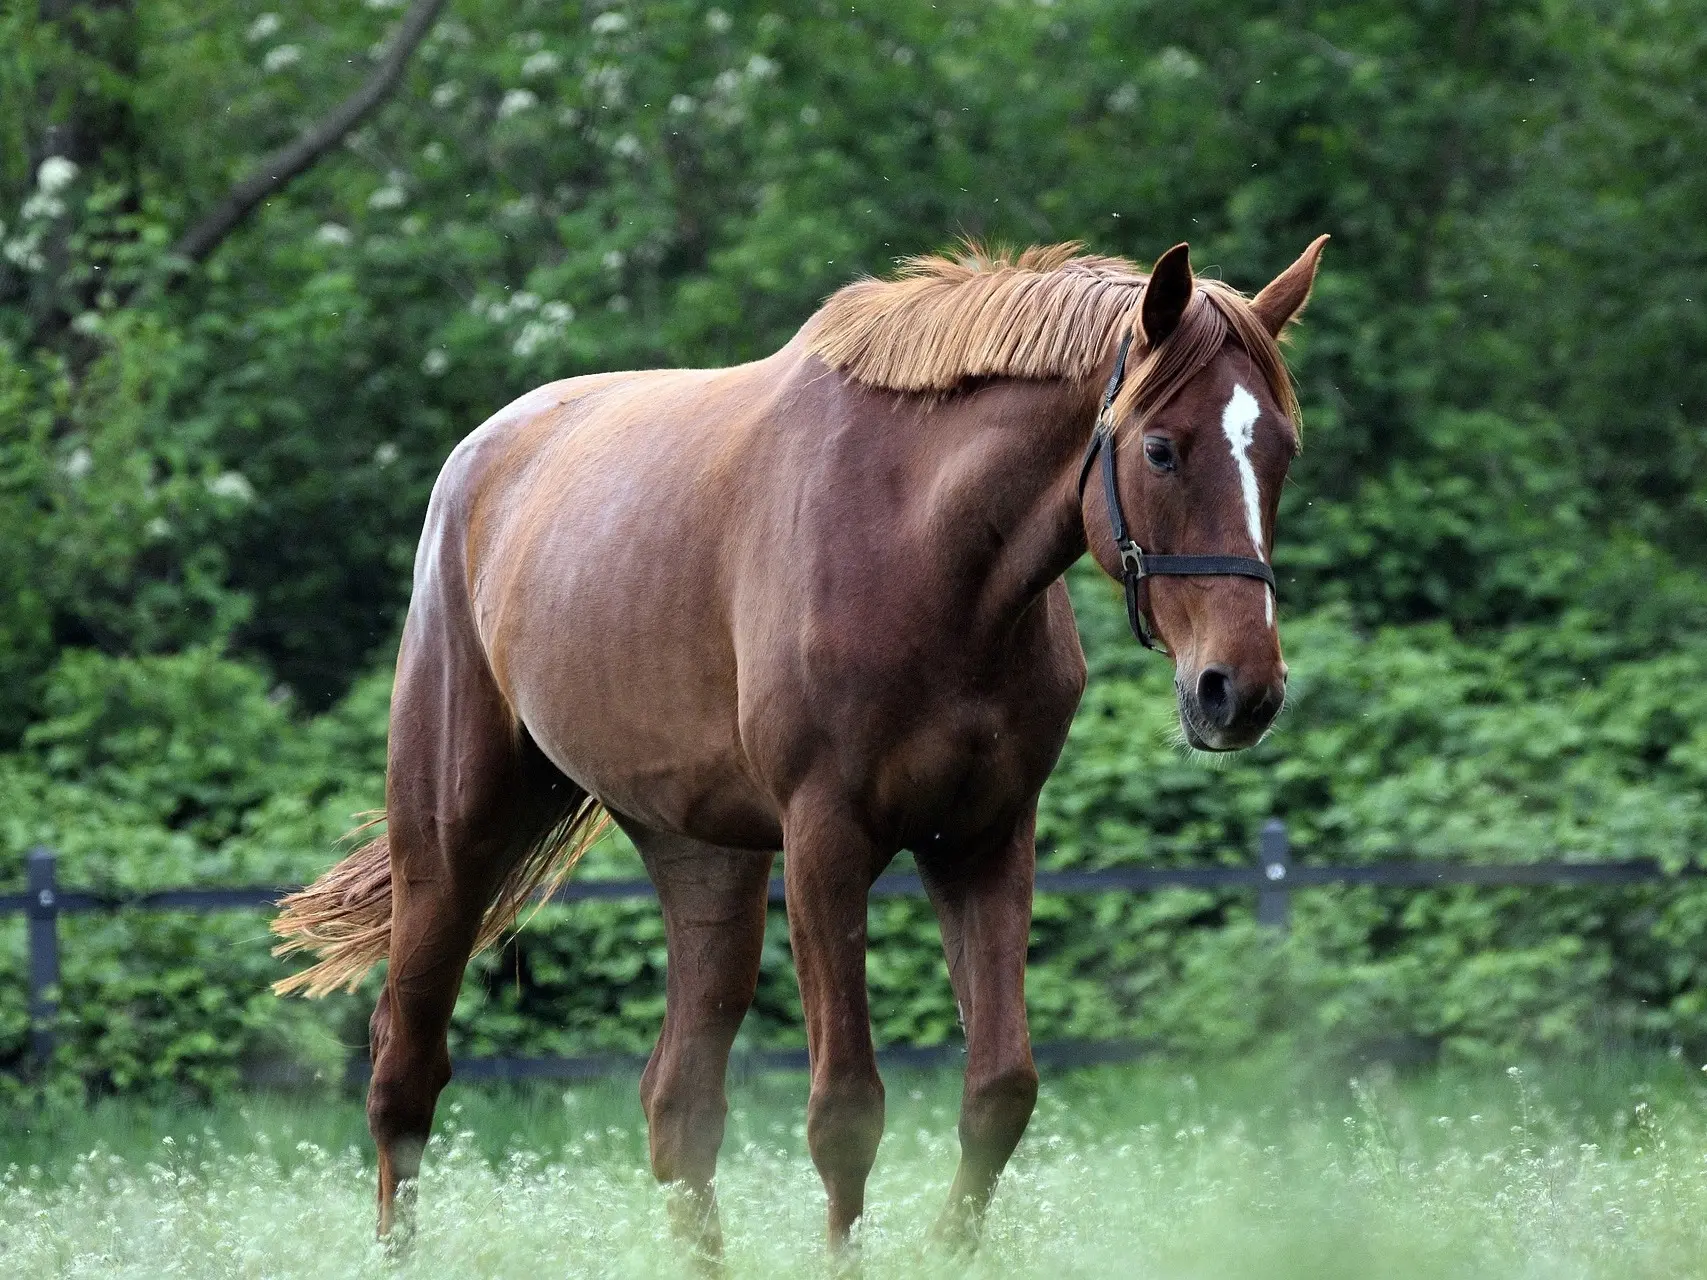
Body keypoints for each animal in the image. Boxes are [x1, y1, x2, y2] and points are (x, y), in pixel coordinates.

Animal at [273, 238, 1324, 1262]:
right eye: (1160, 448)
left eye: (1281, 451)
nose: (1240, 691)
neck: (923, 552)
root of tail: (479, 460)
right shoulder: (826, 842)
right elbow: (845, 1111)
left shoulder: (983, 841)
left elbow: (999, 1090)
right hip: (450, 841)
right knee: (405, 1072)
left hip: (704, 862)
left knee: (679, 1102)